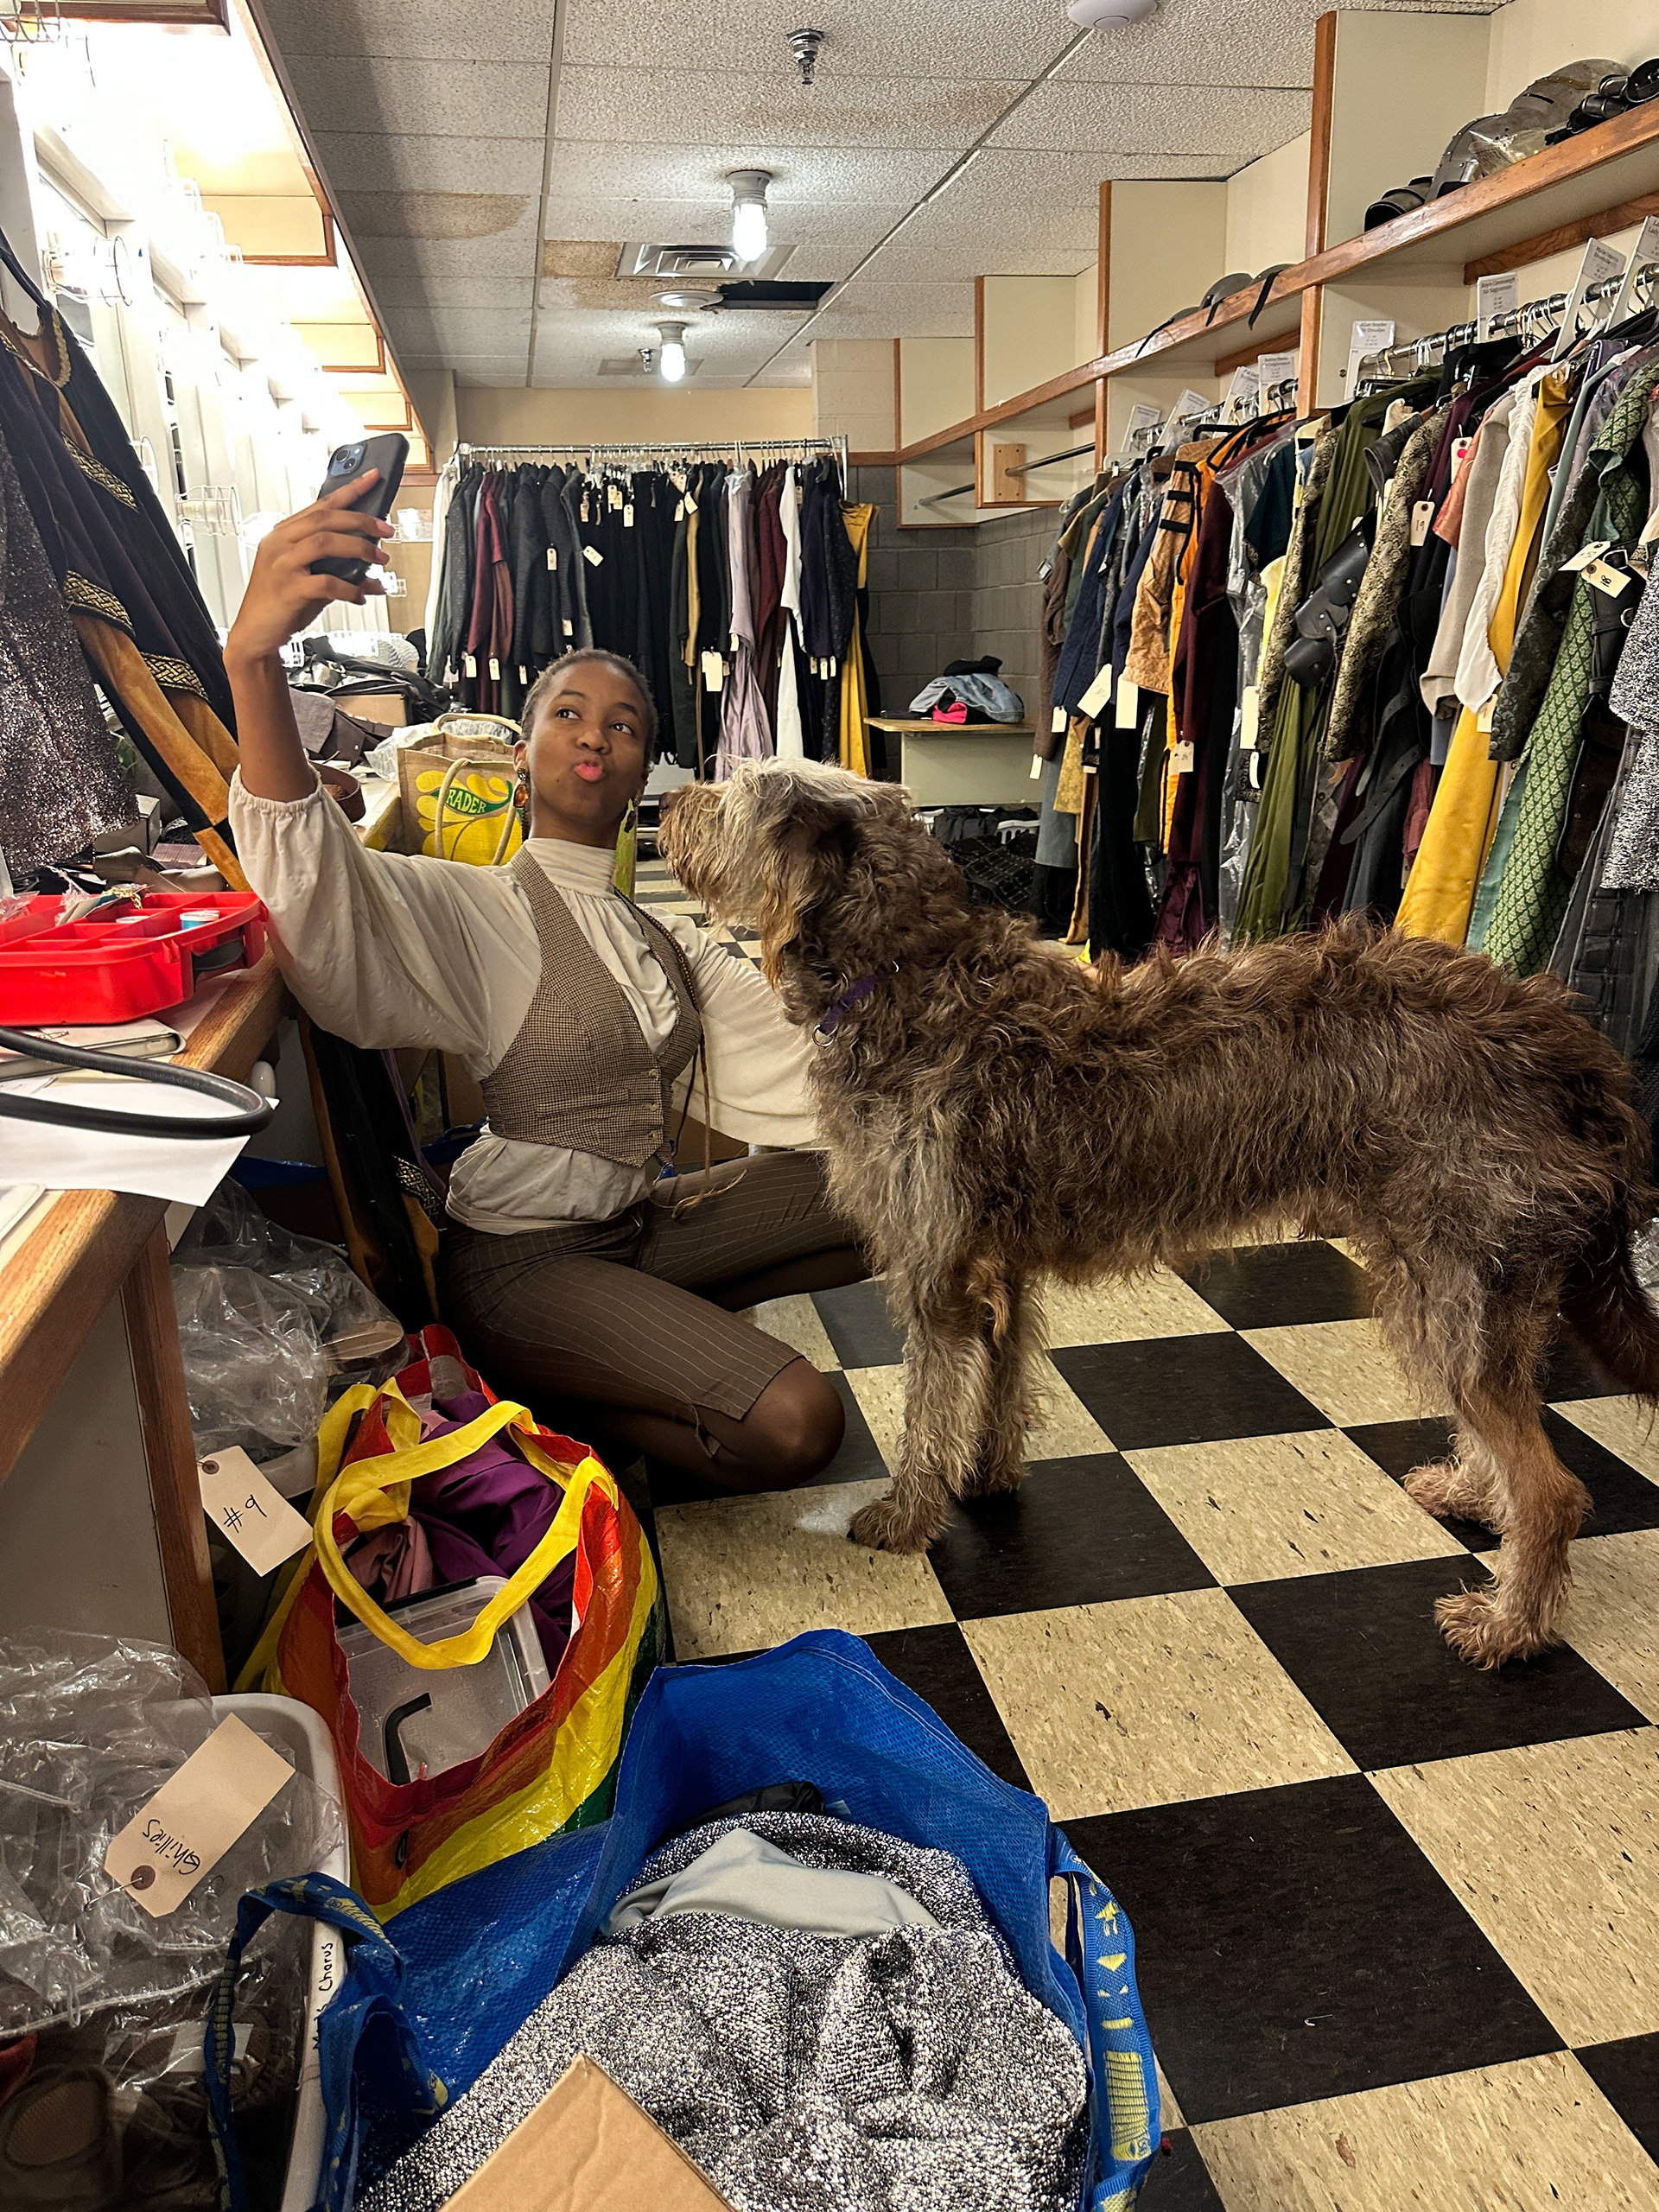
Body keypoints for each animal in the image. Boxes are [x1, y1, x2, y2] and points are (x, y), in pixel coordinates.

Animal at [660, 760, 1659, 1667]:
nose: (669, 804)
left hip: (1451, 1278)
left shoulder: (933, 1275)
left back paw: (1509, 1626)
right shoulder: (998, 1261)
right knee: (1506, 1425)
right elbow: (1003, 1375)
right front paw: (987, 1473)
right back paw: (1475, 1495)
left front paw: (908, 1513)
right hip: (1475, 1288)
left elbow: (926, 1404)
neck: (911, 976)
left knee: (1553, 1490)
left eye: (739, 790)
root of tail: (1571, 1041)